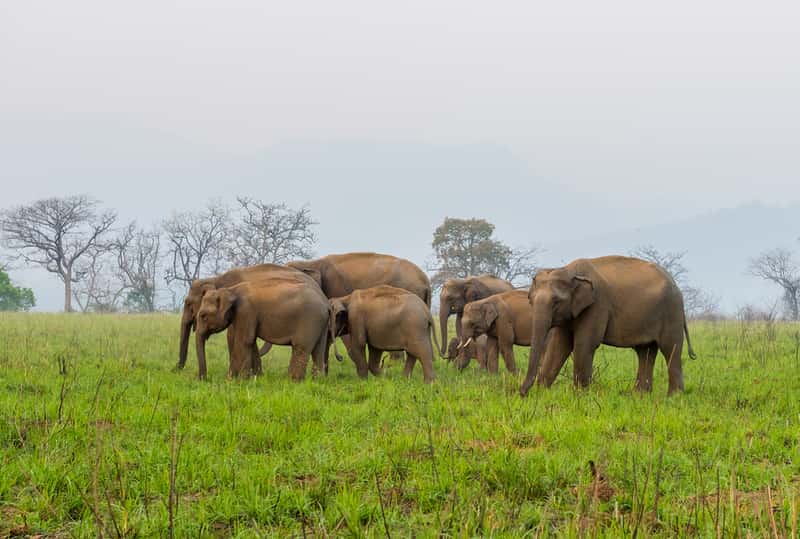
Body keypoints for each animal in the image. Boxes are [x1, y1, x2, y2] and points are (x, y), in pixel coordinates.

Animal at [177, 264, 314, 378]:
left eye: (188, 303)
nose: (175, 371)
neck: (216, 279)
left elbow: (232, 335)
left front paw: (235, 376)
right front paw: (257, 376)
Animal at [195, 276, 330, 382]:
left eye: (203, 316)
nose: (204, 379)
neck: (231, 290)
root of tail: (326, 303)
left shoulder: (245, 311)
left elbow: (244, 341)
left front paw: (234, 381)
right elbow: (251, 341)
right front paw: (251, 379)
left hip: (310, 319)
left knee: (301, 347)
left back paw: (293, 382)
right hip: (321, 324)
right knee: (318, 350)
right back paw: (317, 381)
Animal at [520, 255, 696, 398]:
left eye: (556, 302)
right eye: (530, 300)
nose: (522, 393)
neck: (569, 271)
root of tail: (676, 285)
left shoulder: (597, 305)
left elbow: (584, 344)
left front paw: (579, 397)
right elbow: (559, 346)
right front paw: (542, 394)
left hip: (671, 312)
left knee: (670, 349)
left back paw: (674, 397)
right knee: (645, 351)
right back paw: (639, 396)